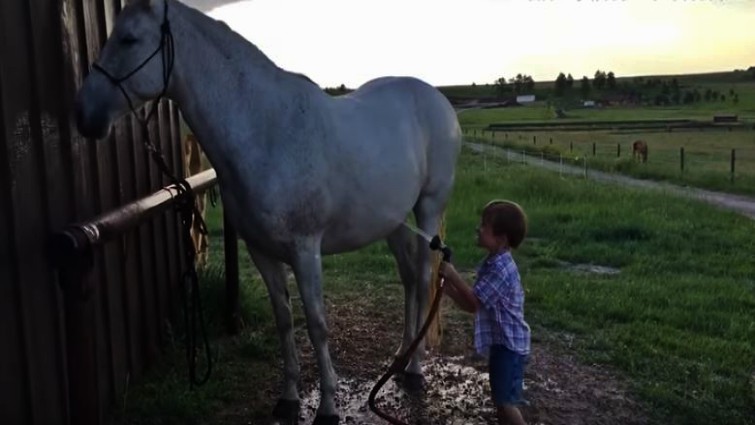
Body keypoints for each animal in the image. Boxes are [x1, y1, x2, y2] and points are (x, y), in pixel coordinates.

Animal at [75, 1, 460, 422]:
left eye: (128, 39)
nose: (84, 115)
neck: (266, 130)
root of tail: (436, 98)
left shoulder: (305, 251)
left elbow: (317, 325)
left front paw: (327, 406)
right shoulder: (261, 251)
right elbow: (285, 320)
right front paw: (289, 399)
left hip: (428, 207)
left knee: (424, 278)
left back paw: (415, 369)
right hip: (392, 221)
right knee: (409, 279)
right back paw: (401, 356)